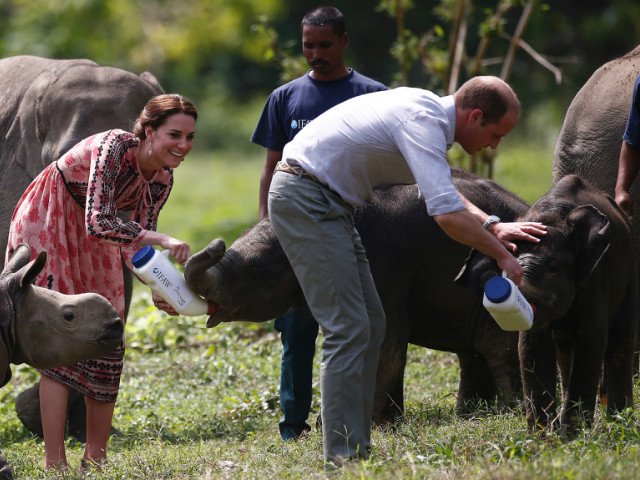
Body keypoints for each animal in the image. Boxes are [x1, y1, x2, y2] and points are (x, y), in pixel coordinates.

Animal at [458, 175, 636, 436]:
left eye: (553, 268)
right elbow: (531, 346)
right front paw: (542, 437)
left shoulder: (595, 277)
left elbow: (590, 341)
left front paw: (572, 437)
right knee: (564, 351)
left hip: (630, 270)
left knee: (620, 342)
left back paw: (621, 422)